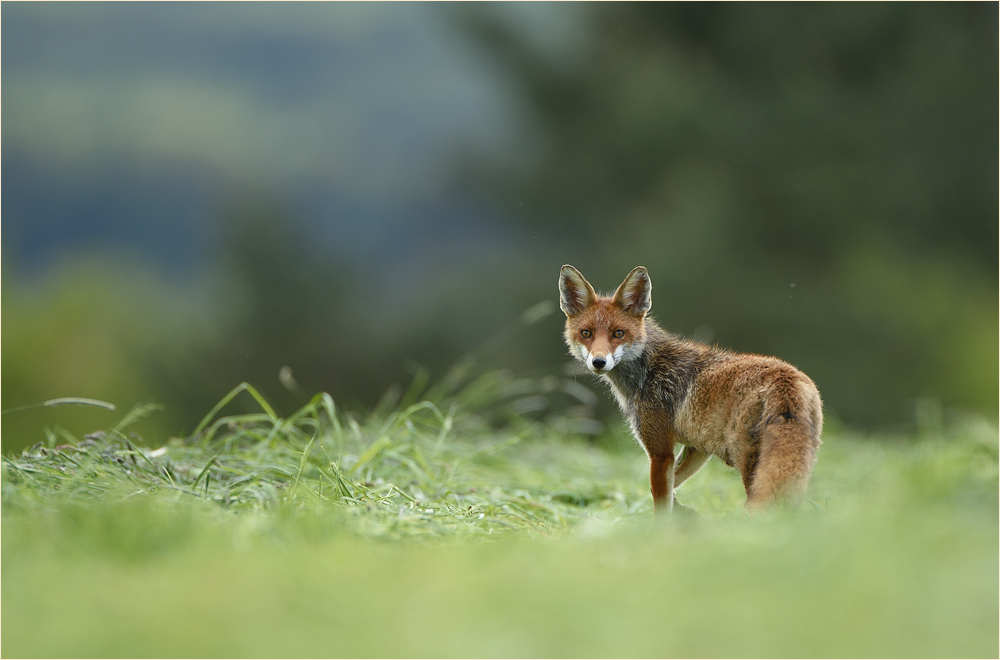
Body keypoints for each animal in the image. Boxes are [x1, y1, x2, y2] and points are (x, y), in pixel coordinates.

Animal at [560, 266, 824, 512]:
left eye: (618, 333)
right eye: (586, 333)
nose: (598, 362)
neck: (648, 372)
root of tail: (786, 380)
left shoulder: (660, 452)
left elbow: (661, 502)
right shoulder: (697, 449)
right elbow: (669, 488)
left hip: (749, 464)